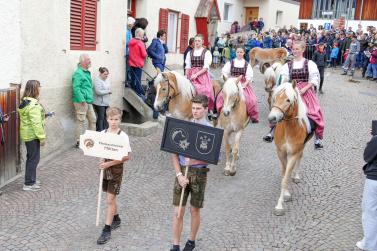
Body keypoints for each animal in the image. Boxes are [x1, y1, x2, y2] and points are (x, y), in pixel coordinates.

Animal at [268, 80, 312, 216]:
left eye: (288, 100)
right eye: (275, 97)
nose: (272, 118)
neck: (289, 129)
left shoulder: (293, 153)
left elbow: (286, 177)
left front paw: (279, 205)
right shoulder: (281, 152)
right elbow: (284, 175)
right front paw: (286, 194)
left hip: (302, 147)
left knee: (300, 157)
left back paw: (296, 176)